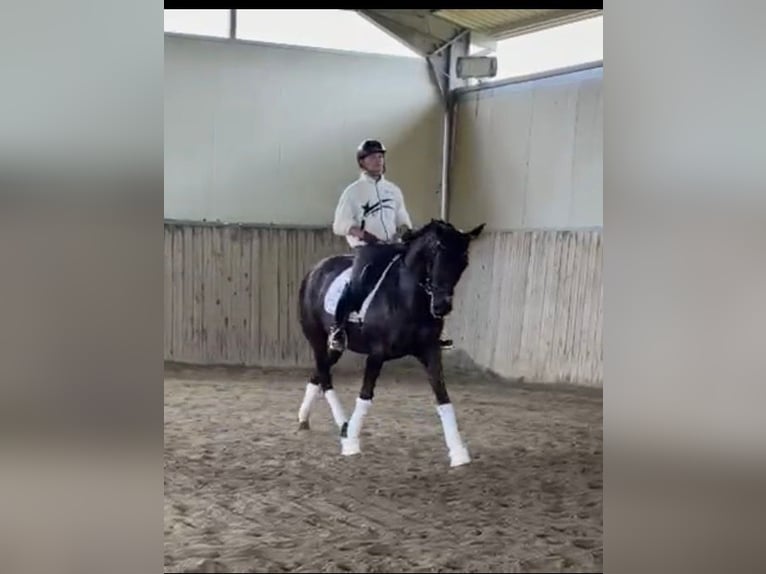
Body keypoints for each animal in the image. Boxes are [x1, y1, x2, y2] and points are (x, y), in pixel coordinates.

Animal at [296, 218, 485, 467]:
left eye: (463, 262)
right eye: (437, 255)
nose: (441, 307)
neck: (407, 297)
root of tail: (316, 269)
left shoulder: (430, 351)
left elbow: (443, 397)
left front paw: (458, 453)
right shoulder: (377, 354)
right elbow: (365, 396)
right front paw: (352, 443)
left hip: (336, 345)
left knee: (319, 372)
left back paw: (308, 419)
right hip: (316, 337)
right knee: (325, 376)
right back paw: (344, 426)